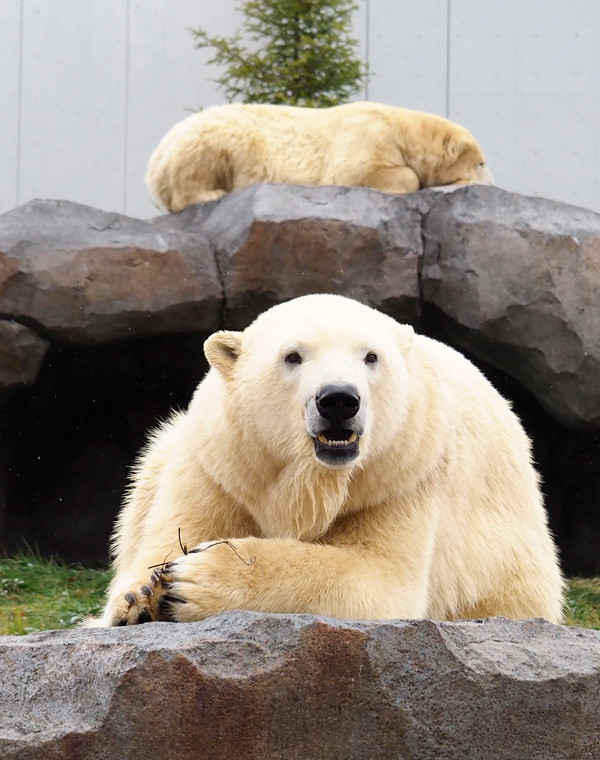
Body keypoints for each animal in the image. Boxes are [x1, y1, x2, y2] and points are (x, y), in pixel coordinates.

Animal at [88, 294, 564, 628]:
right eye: (292, 356)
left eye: (371, 356)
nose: (338, 400)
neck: (317, 477)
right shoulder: (221, 467)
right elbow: (168, 538)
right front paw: (142, 596)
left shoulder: (402, 477)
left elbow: (378, 580)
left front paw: (193, 580)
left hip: (505, 561)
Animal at [144, 101, 492, 212]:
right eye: (482, 163)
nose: (491, 185)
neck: (404, 129)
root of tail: (156, 158)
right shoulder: (366, 136)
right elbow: (361, 171)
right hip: (218, 136)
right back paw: (211, 193)